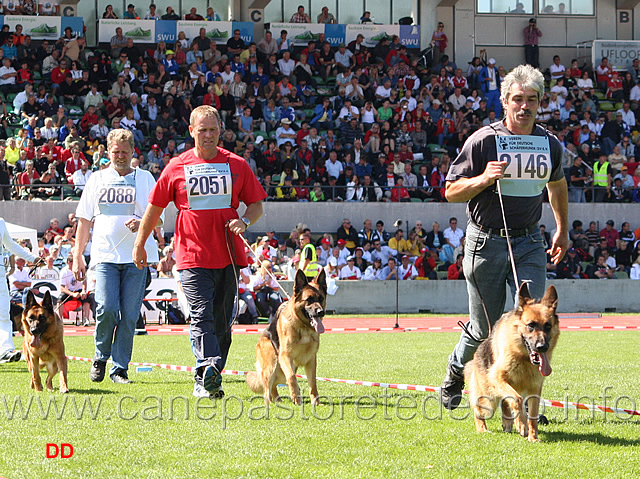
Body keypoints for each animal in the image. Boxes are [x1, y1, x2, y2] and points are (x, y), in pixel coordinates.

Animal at [245, 270, 324, 404]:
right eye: (309, 299)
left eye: (321, 298)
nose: (321, 312)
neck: (303, 327)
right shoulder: (285, 356)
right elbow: (292, 377)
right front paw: (296, 397)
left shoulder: (311, 360)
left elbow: (313, 382)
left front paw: (316, 402)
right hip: (272, 365)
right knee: (267, 389)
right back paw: (270, 403)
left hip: (281, 372)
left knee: (274, 385)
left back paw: (277, 401)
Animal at [464, 284, 560, 444]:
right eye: (531, 325)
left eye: (548, 326)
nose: (542, 347)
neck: (523, 357)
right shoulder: (497, 377)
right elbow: (517, 399)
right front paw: (521, 424)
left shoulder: (535, 389)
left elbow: (532, 415)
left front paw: (533, 437)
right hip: (489, 397)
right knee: (478, 407)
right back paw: (482, 428)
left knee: (504, 402)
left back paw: (508, 422)